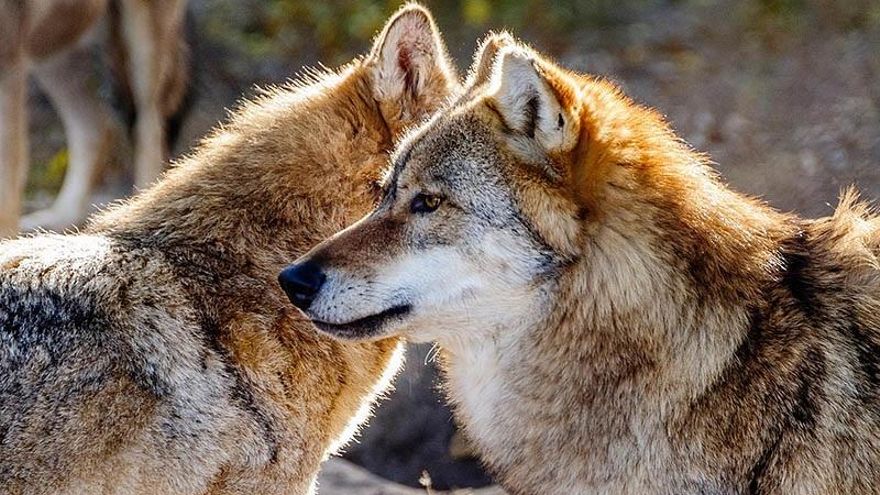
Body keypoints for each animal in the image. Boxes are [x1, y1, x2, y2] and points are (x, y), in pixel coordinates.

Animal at [0, 0, 189, 237]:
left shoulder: (8, 62)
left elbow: (6, 189)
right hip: (55, 48)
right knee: (97, 128)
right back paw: (59, 224)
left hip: (142, 46)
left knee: (150, 133)